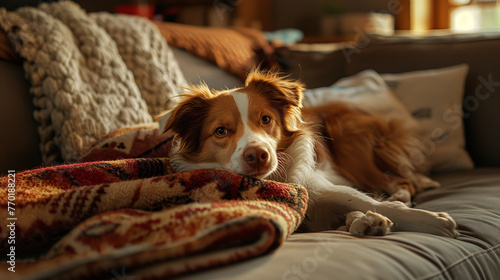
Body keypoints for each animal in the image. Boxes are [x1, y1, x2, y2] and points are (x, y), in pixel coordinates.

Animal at [159, 69, 458, 236]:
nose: (258, 155)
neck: (275, 179)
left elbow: (360, 199)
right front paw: (364, 221)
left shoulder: (319, 182)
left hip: (350, 139)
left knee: (401, 178)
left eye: (266, 119)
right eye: (220, 131)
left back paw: (399, 196)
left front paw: (429, 221)